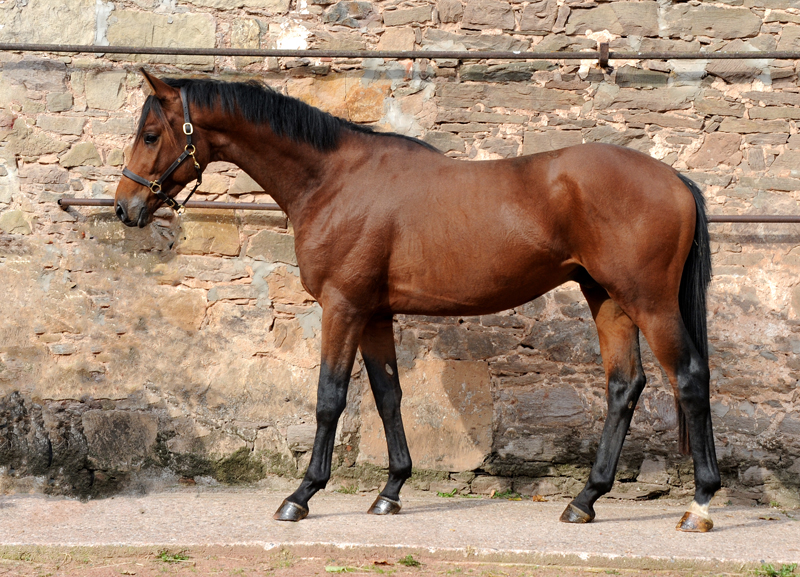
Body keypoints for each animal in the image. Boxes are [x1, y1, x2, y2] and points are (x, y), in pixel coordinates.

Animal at [112, 70, 720, 532]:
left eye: (150, 133)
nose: (124, 207)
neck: (332, 179)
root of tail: (675, 179)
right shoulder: (375, 312)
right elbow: (388, 396)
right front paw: (391, 490)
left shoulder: (343, 307)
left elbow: (330, 398)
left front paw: (301, 495)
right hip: (608, 298)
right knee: (624, 386)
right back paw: (585, 500)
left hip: (648, 301)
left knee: (688, 377)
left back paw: (699, 505)